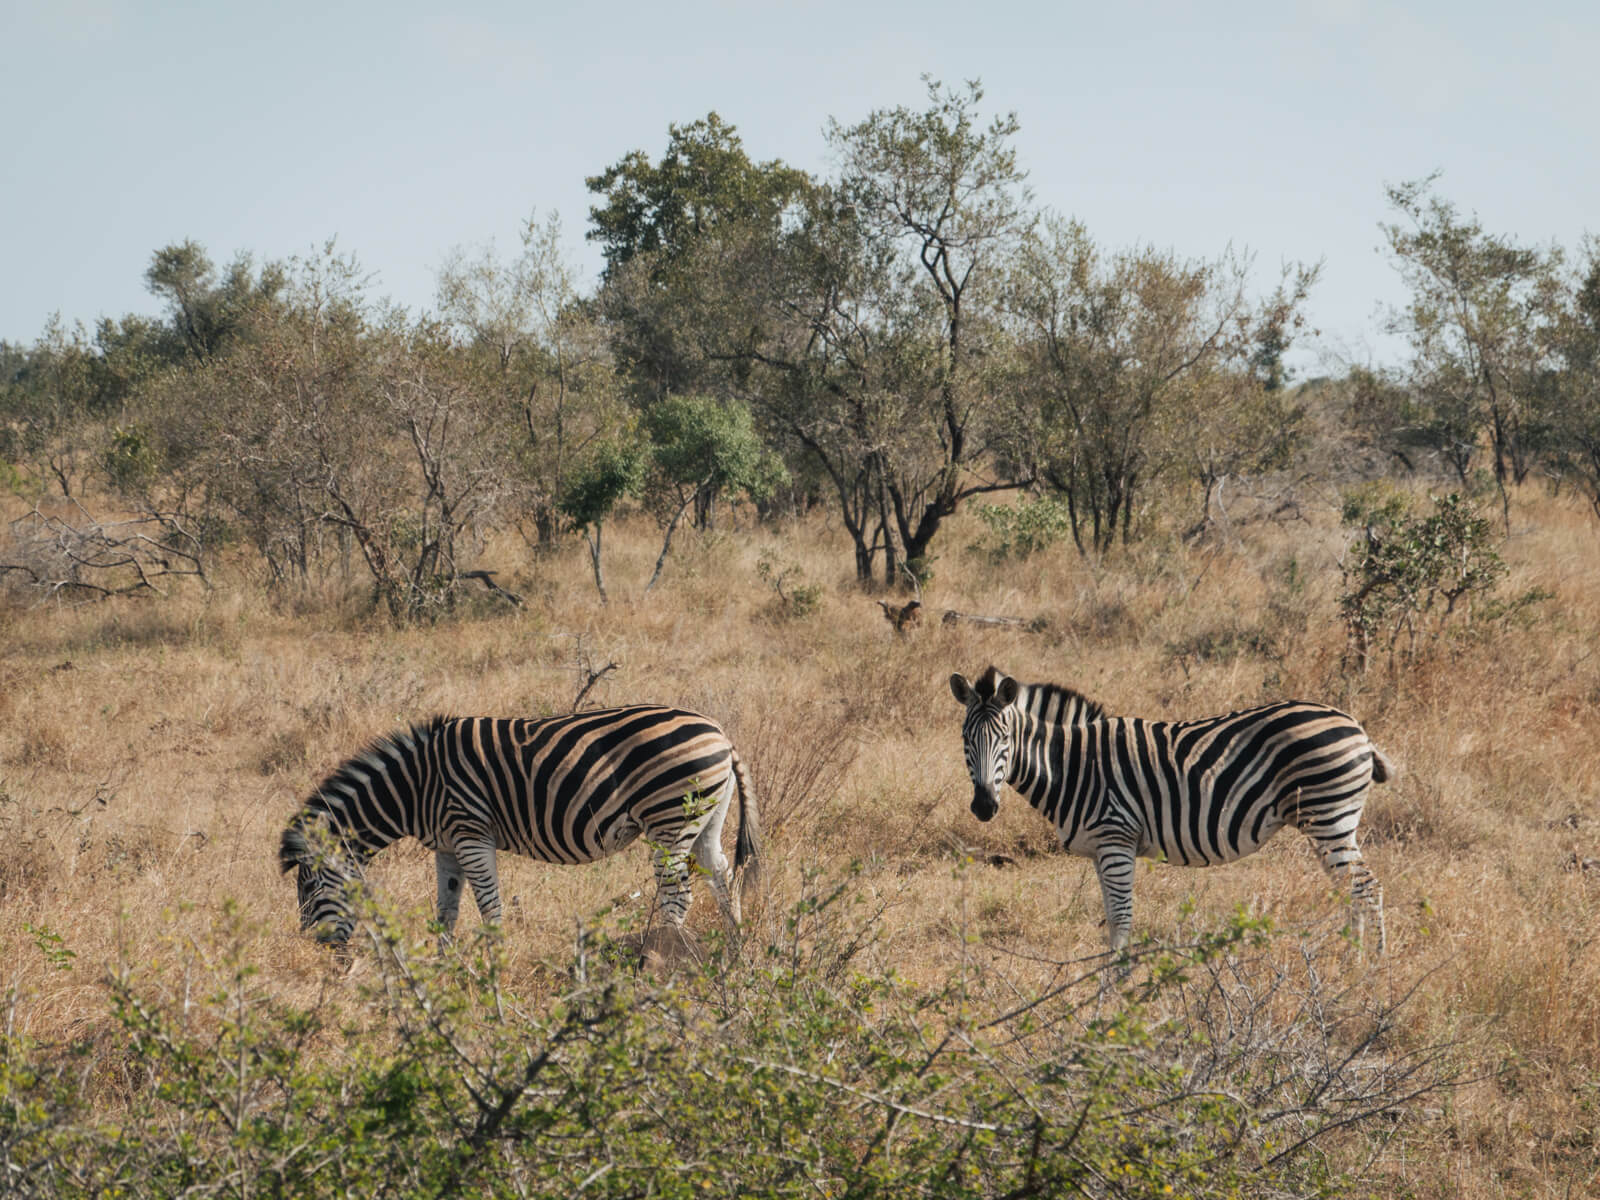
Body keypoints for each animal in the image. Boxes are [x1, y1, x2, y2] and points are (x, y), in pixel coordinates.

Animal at [278, 705, 761, 950]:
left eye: (309, 889)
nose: (319, 952)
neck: (416, 785)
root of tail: (720, 733)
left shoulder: (471, 833)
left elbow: (489, 908)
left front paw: (494, 967)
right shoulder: (447, 847)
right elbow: (446, 913)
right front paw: (444, 969)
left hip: (669, 818)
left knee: (678, 894)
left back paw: (659, 960)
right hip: (704, 818)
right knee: (721, 874)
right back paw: (732, 947)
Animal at [950, 666, 1393, 963]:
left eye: (1005, 739)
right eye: (965, 738)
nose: (984, 806)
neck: (1073, 764)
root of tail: (1357, 727)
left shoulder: (1116, 840)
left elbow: (1123, 920)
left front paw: (1113, 993)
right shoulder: (1100, 851)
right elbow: (1111, 920)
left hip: (1329, 818)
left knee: (1367, 888)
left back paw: (1369, 968)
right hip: (1329, 823)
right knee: (1353, 889)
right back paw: (1348, 963)